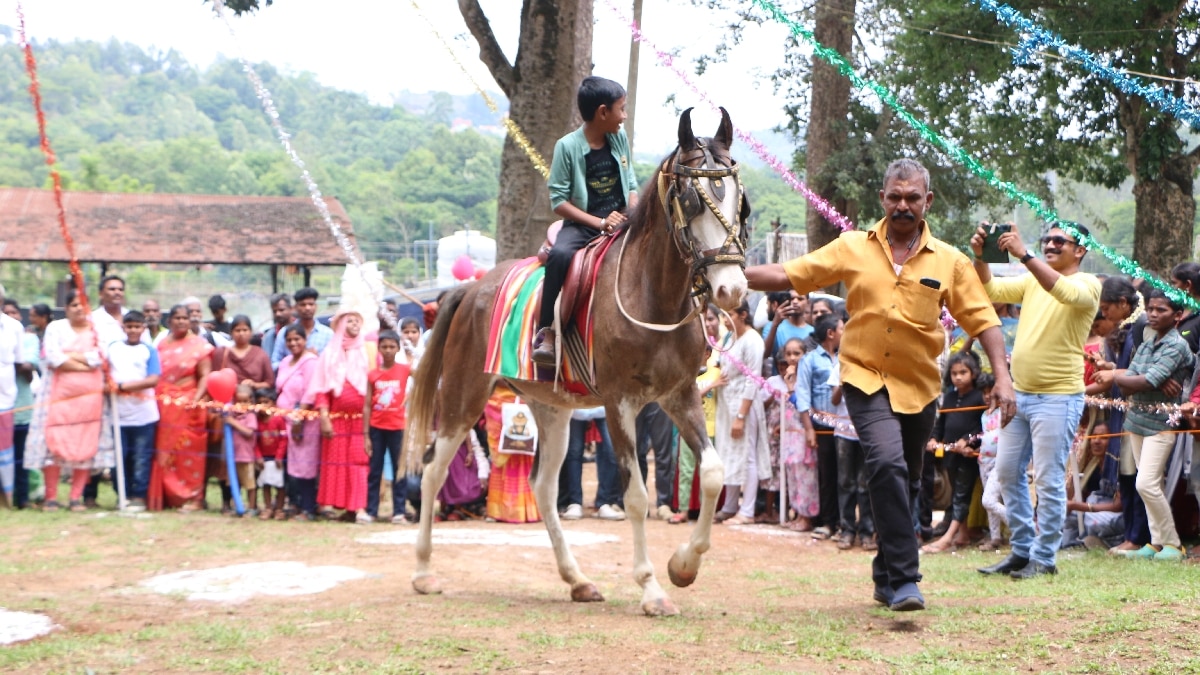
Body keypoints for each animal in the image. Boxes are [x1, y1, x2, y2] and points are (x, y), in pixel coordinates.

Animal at [408, 109, 753, 614]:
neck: (652, 293)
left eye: (740, 201)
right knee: (433, 469)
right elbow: (635, 495)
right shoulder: (619, 403)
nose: (731, 289)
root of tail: (470, 289)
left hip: (550, 409)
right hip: (462, 395)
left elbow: (711, 475)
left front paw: (683, 566)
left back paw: (576, 579)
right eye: (691, 200)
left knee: (543, 487)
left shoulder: (679, 393)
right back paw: (423, 571)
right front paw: (652, 588)